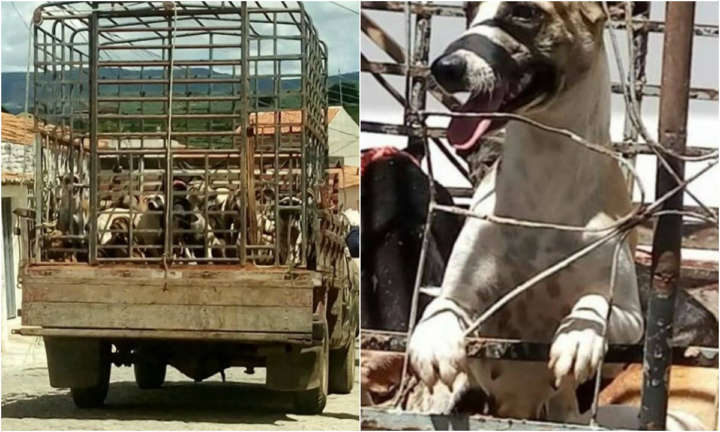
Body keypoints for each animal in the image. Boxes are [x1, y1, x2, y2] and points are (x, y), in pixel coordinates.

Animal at [408, 0, 644, 422]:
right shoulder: (464, 298)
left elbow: (595, 303)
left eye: (525, 12)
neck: (545, 175)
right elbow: (443, 307)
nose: (443, 67)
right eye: (469, 9)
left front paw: (578, 334)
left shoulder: (632, 319)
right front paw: (433, 337)